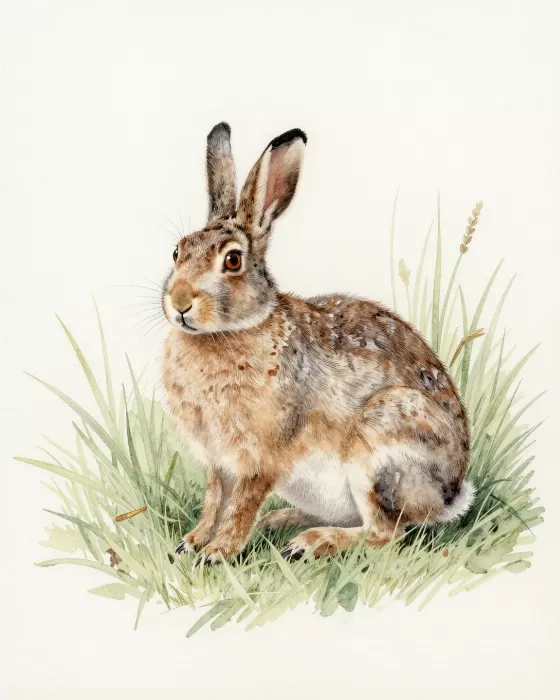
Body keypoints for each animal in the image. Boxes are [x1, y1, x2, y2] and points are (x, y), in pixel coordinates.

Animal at [161, 122, 474, 564]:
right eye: (177, 252)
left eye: (233, 261)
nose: (180, 303)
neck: (230, 333)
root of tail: (450, 495)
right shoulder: (218, 462)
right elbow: (214, 500)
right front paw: (192, 542)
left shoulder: (261, 457)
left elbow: (239, 506)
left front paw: (218, 552)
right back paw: (280, 522)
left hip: (378, 447)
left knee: (386, 534)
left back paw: (310, 543)